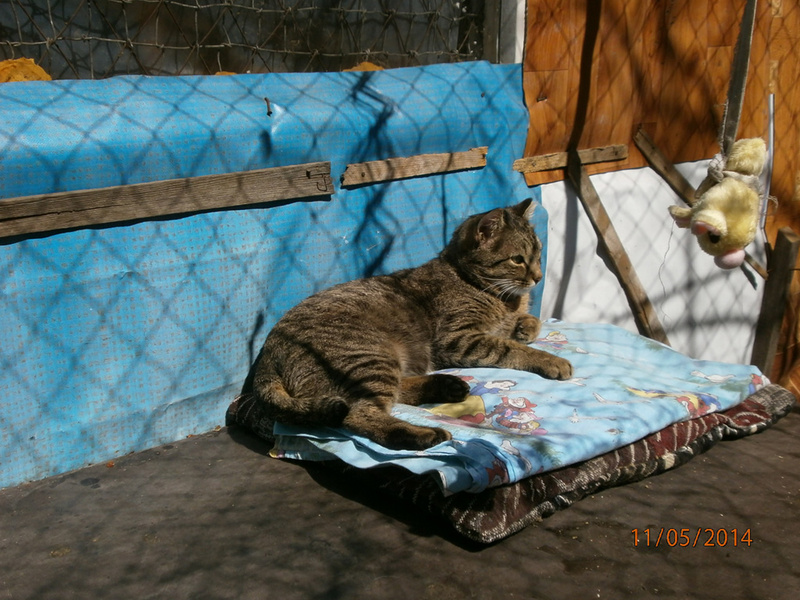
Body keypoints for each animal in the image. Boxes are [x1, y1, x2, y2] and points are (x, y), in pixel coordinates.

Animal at [250, 199, 573, 451]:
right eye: (517, 259)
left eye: (539, 255)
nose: (539, 277)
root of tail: (267, 355)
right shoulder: (459, 339)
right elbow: (510, 348)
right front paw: (551, 360)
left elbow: (531, 322)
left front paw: (525, 326)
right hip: (370, 356)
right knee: (360, 414)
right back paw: (424, 432)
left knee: (391, 394)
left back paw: (446, 385)